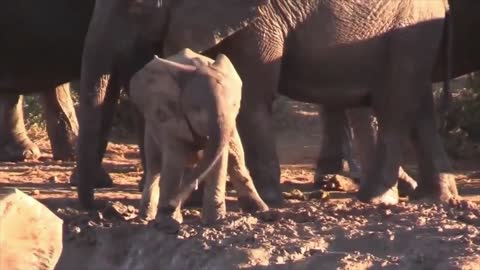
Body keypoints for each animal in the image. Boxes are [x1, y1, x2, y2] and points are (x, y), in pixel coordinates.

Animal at [77, 0, 456, 209]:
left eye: (136, 6)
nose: (100, 211)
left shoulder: (258, 21)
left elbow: (253, 99)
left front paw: (269, 198)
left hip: (409, 30)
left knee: (395, 104)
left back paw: (377, 198)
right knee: (418, 105)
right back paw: (433, 197)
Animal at [129, 48, 268, 230]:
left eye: (235, 106)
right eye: (197, 109)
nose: (169, 205)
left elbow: (220, 161)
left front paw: (214, 222)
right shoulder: (169, 116)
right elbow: (174, 160)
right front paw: (167, 223)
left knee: (236, 160)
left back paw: (261, 211)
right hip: (151, 125)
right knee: (155, 166)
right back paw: (146, 217)